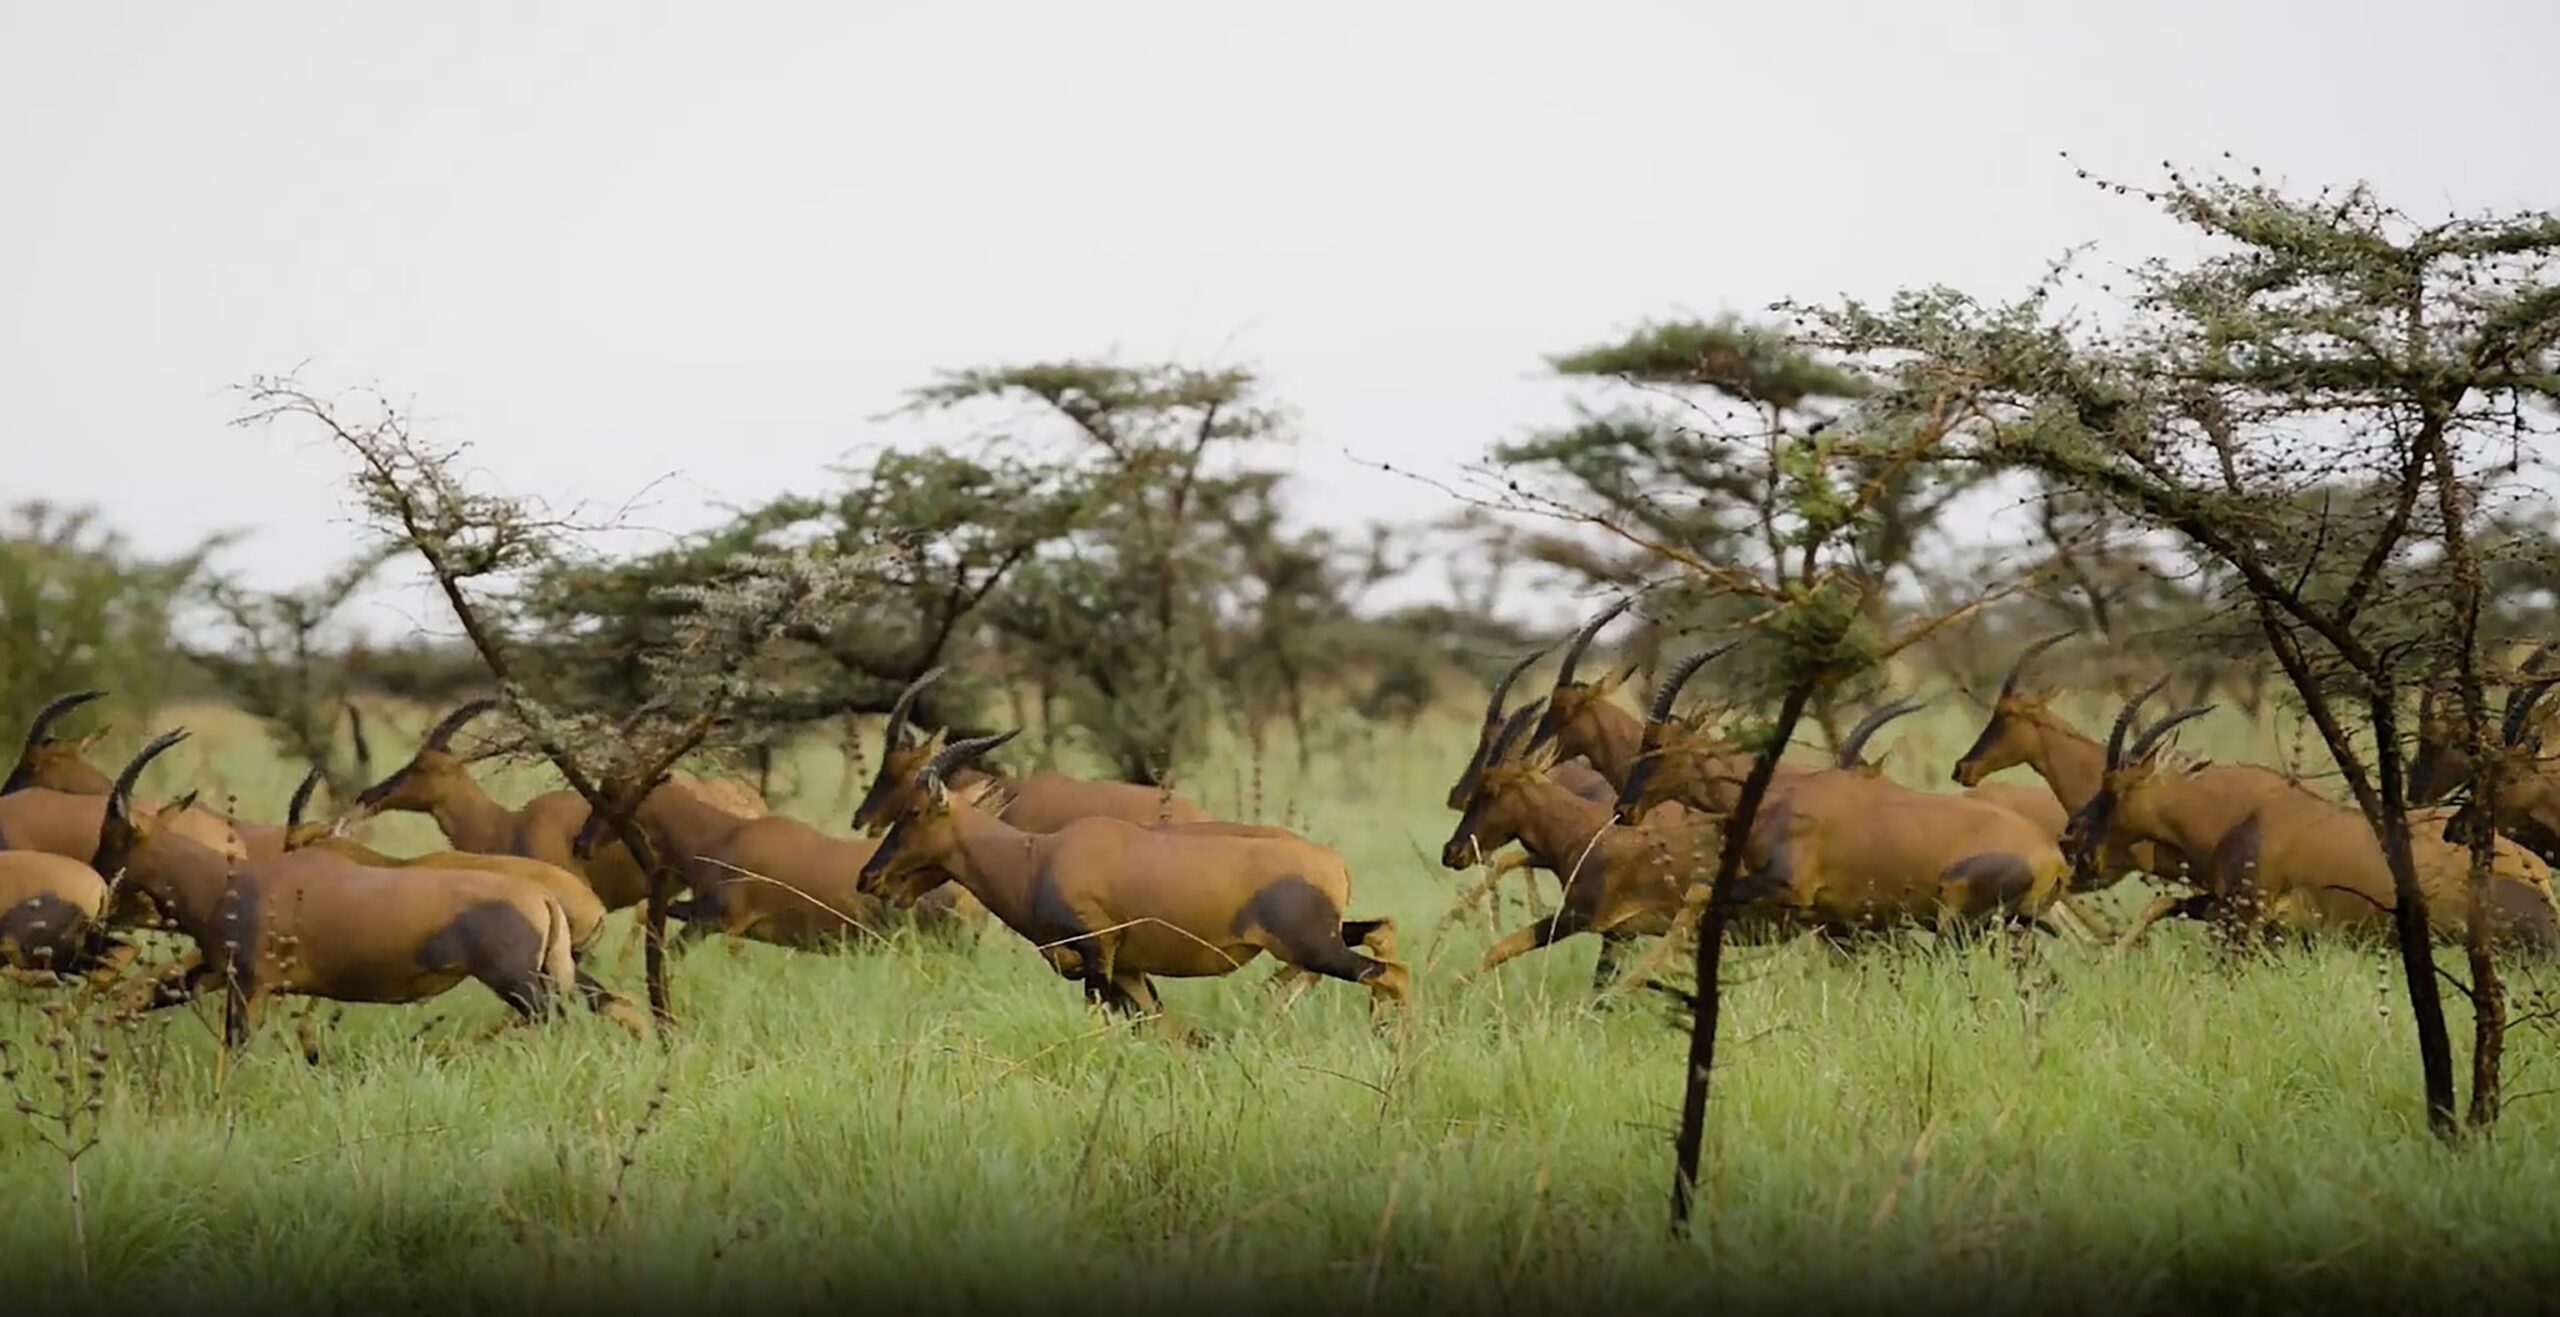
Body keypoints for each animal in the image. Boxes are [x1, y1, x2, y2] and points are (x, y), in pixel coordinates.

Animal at [100, 731, 618, 1053]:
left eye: (111, 835)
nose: (104, 906)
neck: (233, 881)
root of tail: (545, 898)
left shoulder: (249, 985)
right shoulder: (215, 972)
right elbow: (143, 995)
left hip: (520, 985)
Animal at [856, 731, 1408, 1025]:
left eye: (914, 811)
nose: (869, 878)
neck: (1041, 857)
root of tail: (1332, 861)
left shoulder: (1098, 959)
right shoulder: (1128, 971)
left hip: (1312, 946)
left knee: (1389, 974)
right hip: (1318, 940)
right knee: (1381, 934)